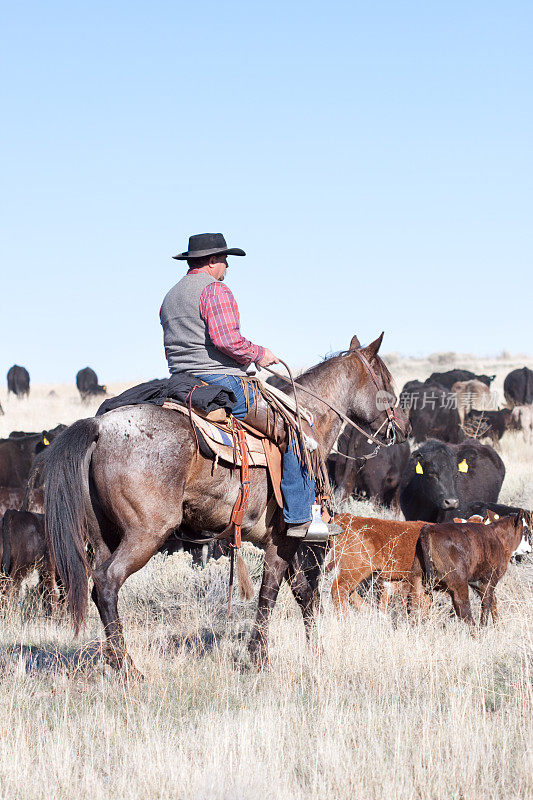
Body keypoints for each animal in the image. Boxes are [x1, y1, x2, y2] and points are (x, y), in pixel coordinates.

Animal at [44, 332, 408, 676]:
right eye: (387, 384)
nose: (404, 429)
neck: (309, 426)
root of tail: (100, 428)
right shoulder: (282, 538)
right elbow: (270, 594)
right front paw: (259, 657)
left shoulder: (283, 541)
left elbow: (304, 594)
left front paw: (316, 652)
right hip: (145, 534)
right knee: (107, 582)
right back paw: (128, 668)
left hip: (104, 535)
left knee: (96, 585)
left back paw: (113, 660)